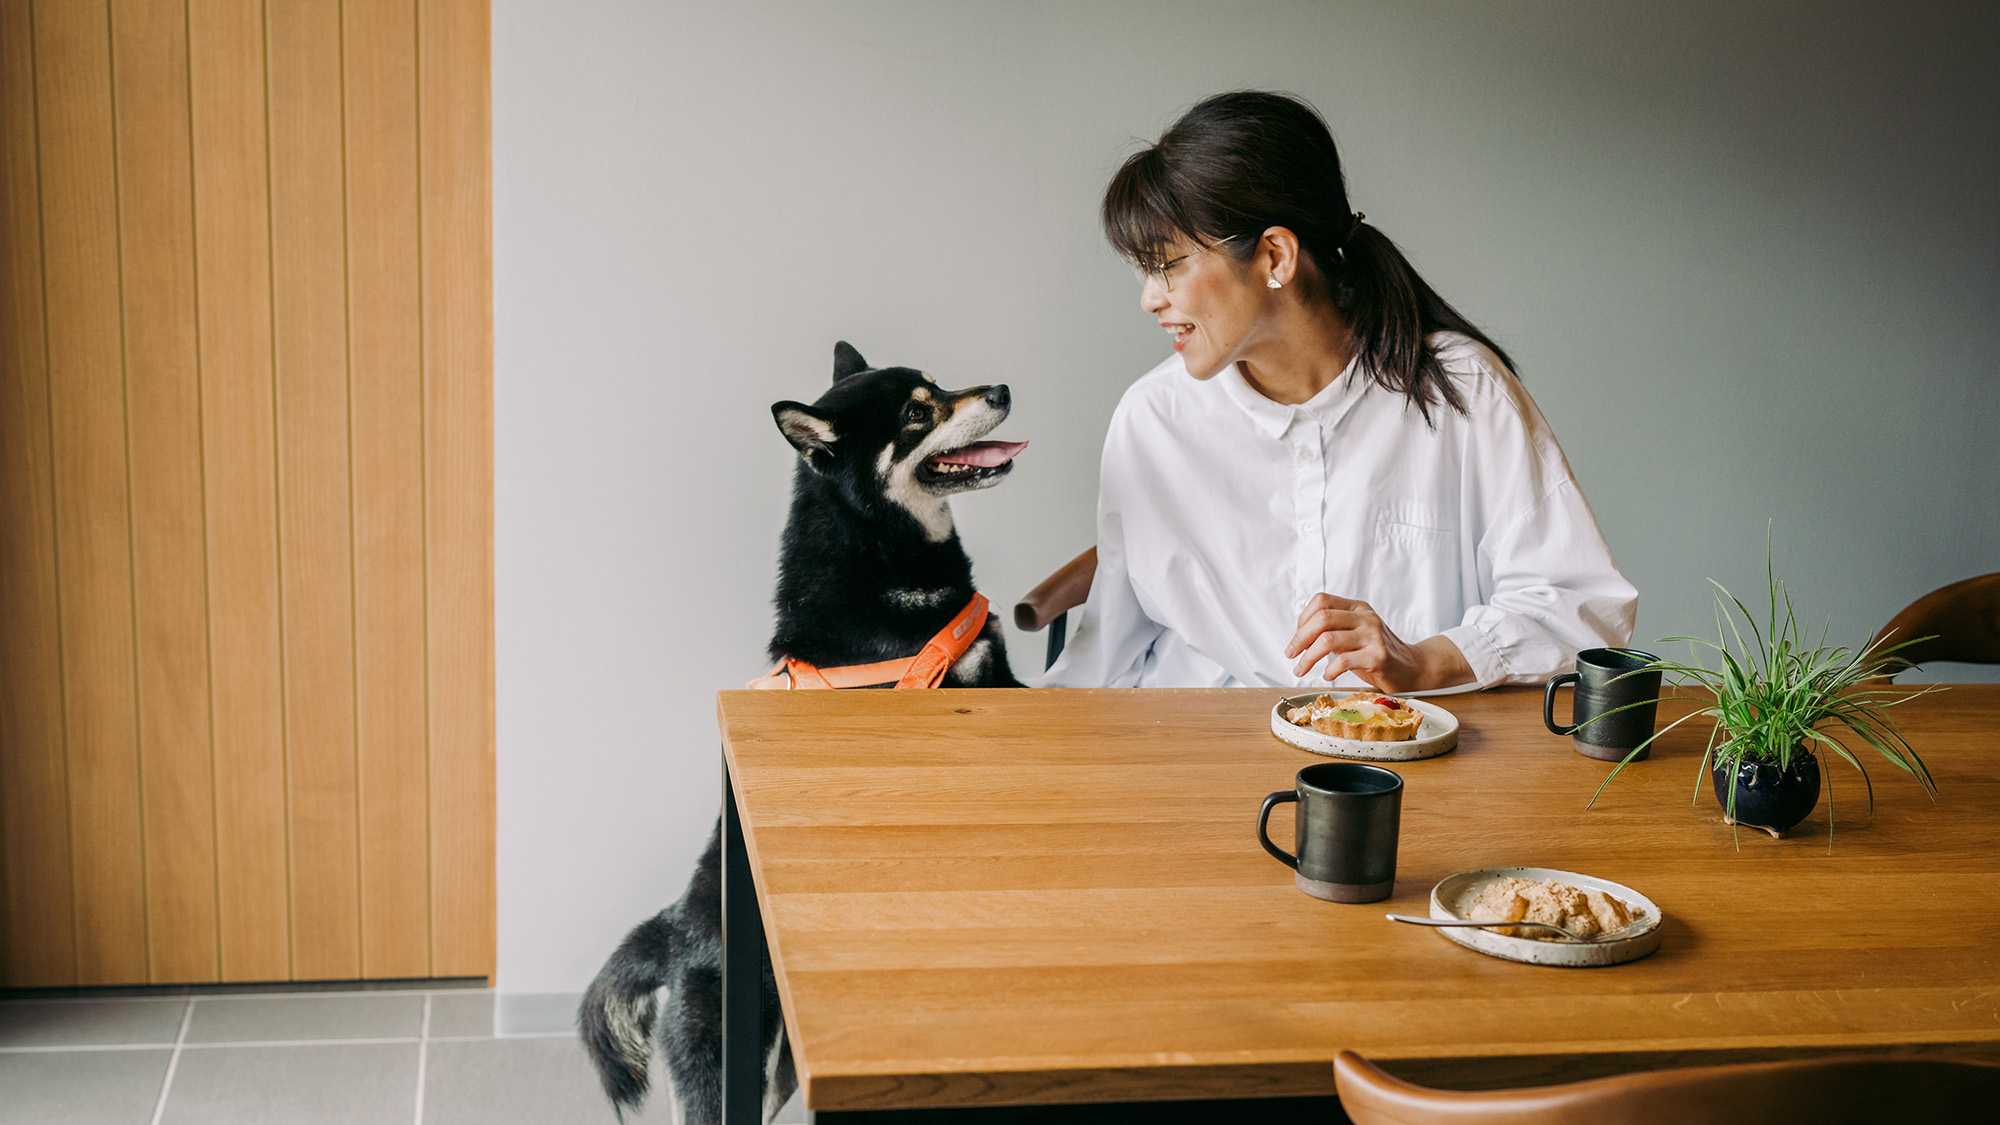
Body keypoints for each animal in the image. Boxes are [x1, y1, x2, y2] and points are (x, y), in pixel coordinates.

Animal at [576, 342, 1016, 1120]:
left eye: (938, 385)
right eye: (917, 412)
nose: (1001, 389)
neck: (882, 557)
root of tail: (675, 928)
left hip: (776, 1077)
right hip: (727, 1070)